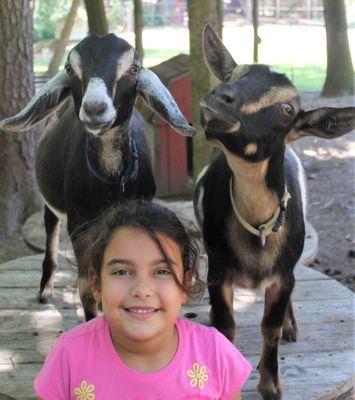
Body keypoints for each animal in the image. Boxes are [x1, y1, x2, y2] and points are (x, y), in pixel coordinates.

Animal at [0, 33, 196, 322]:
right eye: (71, 69)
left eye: (133, 69)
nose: (94, 109)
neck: (110, 182)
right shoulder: (80, 224)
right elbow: (86, 286)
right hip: (51, 206)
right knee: (51, 231)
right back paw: (45, 290)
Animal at [195, 25, 355, 400]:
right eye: (231, 75)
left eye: (286, 108)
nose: (220, 95)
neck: (258, 229)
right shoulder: (218, 270)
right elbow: (227, 326)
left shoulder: (282, 274)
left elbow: (270, 327)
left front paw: (271, 385)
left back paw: (292, 326)